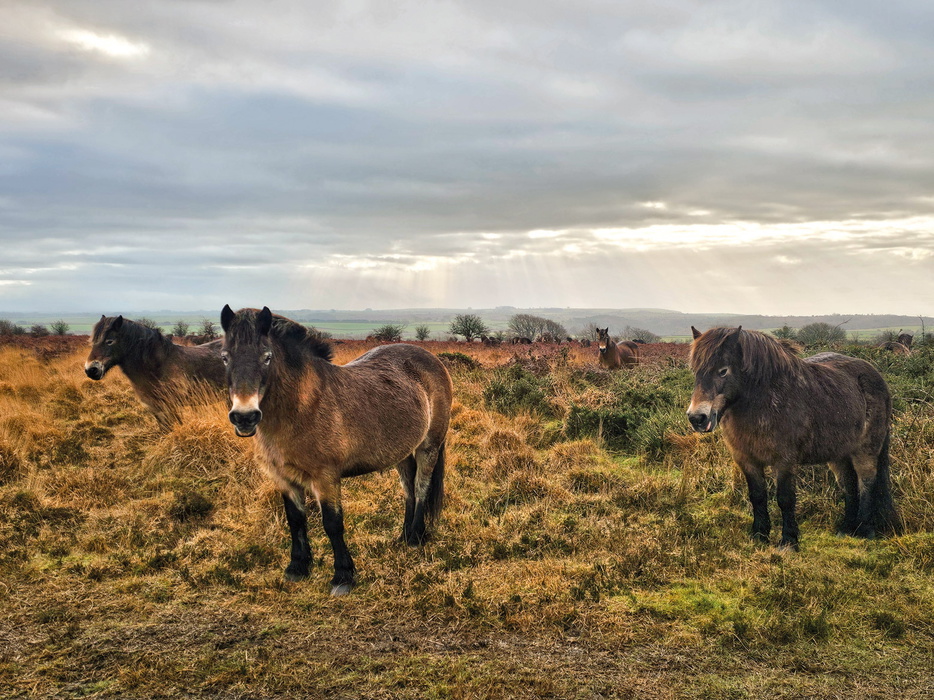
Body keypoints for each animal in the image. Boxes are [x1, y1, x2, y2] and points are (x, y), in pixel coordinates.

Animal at [85, 315, 226, 430]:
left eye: (110, 341)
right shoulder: (156, 409)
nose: (90, 370)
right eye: (92, 341)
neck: (158, 366)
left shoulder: (170, 407)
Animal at [220, 306, 453, 595]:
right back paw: (403, 535)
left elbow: (332, 524)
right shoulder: (283, 478)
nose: (244, 417)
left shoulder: (326, 478)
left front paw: (343, 576)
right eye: (225, 357)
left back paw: (415, 537)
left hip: (428, 446)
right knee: (409, 489)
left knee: (421, 488)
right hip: (402, 451)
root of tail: (432, 360)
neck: (302, 407)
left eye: (267, 357)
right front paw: (297, 567)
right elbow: (295, 520)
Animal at [687, 326, 899, 549]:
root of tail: (875, 375)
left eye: (723, 370)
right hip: (839, 454)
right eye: (696, 371)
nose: (697, 418)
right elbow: (757, 496)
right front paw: (759, 535)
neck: (765, 403)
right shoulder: (747, 460)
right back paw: (845, 529)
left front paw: (788, 541)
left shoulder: (785, 461)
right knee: (848, 484)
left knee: (867, 482)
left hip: (865, 450)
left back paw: (865, 530)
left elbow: (785, 498)